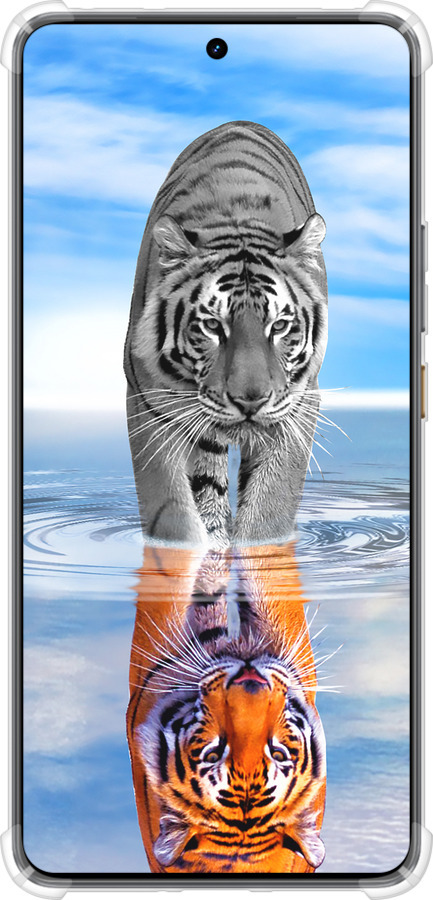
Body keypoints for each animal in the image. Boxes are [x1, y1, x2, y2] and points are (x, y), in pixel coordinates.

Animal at [124, 121, 328, 549]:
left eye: (279, 326)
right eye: (212, 326)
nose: (250, 401)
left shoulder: (299, 404)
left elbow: (270, 509)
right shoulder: (148, 401)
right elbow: (172, 513)